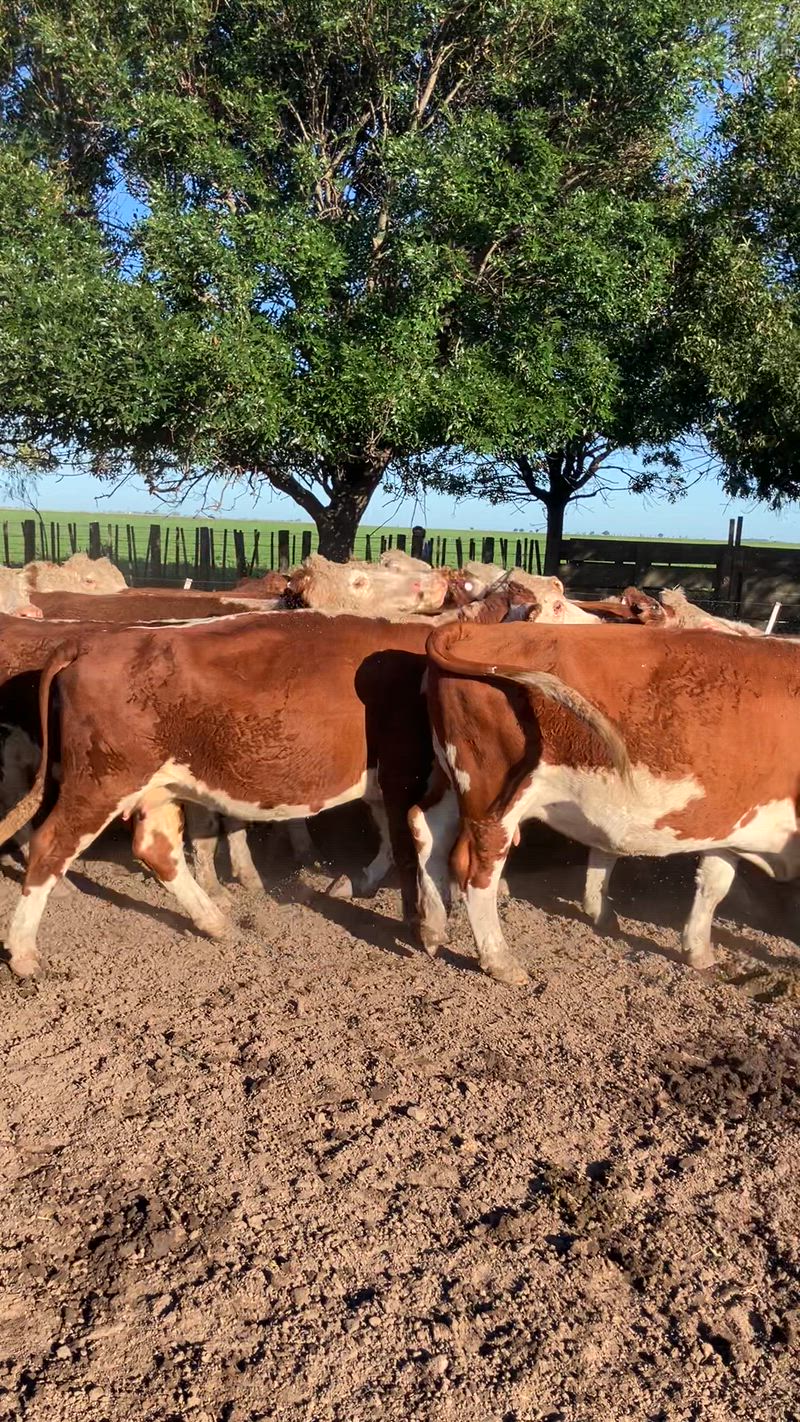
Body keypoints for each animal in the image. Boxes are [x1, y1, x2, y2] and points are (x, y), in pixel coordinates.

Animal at [409, 620, 800, 985]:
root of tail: (473, 629)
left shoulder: (731, 823)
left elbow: (713, 886)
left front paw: (699, 952)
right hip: (495, 793)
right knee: (479, 869)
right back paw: (500, 961)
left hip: (452, 779)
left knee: (427, 828)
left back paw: (432, 929)